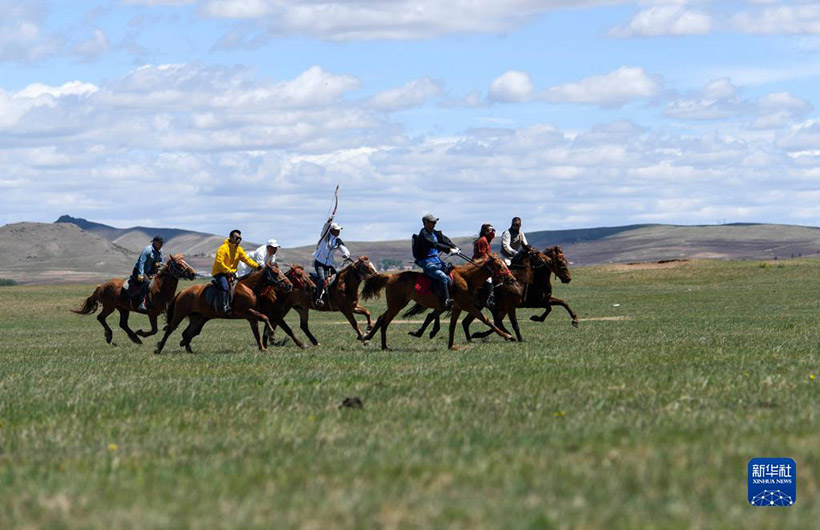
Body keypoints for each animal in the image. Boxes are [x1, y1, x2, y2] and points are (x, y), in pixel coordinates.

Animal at [154, 264, 292, 354]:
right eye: (275, 273)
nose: (289, 285)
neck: (249, 288)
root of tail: (183, 292)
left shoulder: (251, 317)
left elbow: (257, 332)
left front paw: (263, 348)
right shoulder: (246, 312)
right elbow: (265, 317)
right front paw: (271, 333)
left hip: (197, 318)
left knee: (187, 333)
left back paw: (189, 351)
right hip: (179, 315)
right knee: (170, 330)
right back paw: (159, 349)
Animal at [362, 253, 516, 348]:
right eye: (499, 265)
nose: (512, 279)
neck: (466, 278)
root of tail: (390, 276)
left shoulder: (457, 307)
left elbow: (452, 325)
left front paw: (451, 345)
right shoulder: (468, 306)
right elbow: (486, 320)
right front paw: (508, 336)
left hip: (398, 304)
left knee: (382, 319)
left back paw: (370, 339)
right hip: (396, 305)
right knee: (384, 320)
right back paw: (381, 344)